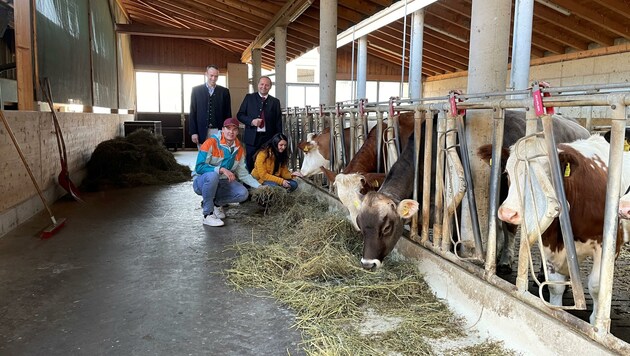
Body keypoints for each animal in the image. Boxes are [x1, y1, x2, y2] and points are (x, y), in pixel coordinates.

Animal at [498, 135, 630, 324]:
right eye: (507, 173)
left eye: (542, 175)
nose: (508, 213)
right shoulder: (548, 243)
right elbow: (555, 285)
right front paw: (557, 311)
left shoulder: (609, 243)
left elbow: (596, 286)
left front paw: (595, 321)